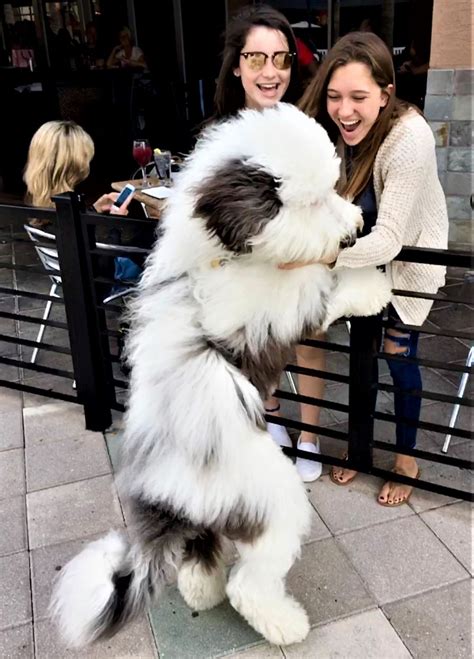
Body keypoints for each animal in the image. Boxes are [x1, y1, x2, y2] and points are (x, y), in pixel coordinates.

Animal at [51, 105, 392, 648]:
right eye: (313, 201)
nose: (354, 229)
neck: (223, 252)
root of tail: (168, 492)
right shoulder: (280, 305)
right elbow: (326, 288)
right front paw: (370, 286)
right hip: (270, 505)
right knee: (249, 582)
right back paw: (283, 622)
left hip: (206, 517)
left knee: (198, 554)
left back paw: (202, 592)